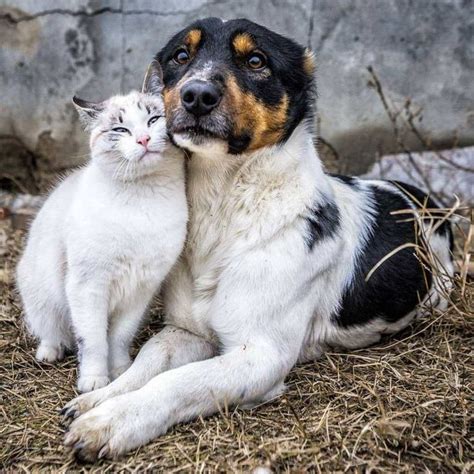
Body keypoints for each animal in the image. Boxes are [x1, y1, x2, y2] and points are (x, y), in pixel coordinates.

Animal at [16, 63, 187, 392]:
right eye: (120, 130)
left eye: (153, 120)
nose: (144, 139)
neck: (143, 197)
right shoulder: (88, 287)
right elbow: (94, 341)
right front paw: (94, 380)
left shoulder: (141, 289)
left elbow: (118, 338)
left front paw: (119, 370)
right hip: (41, 293)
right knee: (53, 330)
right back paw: (50, 352)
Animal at [61, 17, 454, 460]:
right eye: (181, 55)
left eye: (256, 61)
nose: (197, 95)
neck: (223, 209)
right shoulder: (186, 332)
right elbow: (146, 363)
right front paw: (100, 397)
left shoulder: (261, 356)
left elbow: (176, 382)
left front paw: (113, 421)